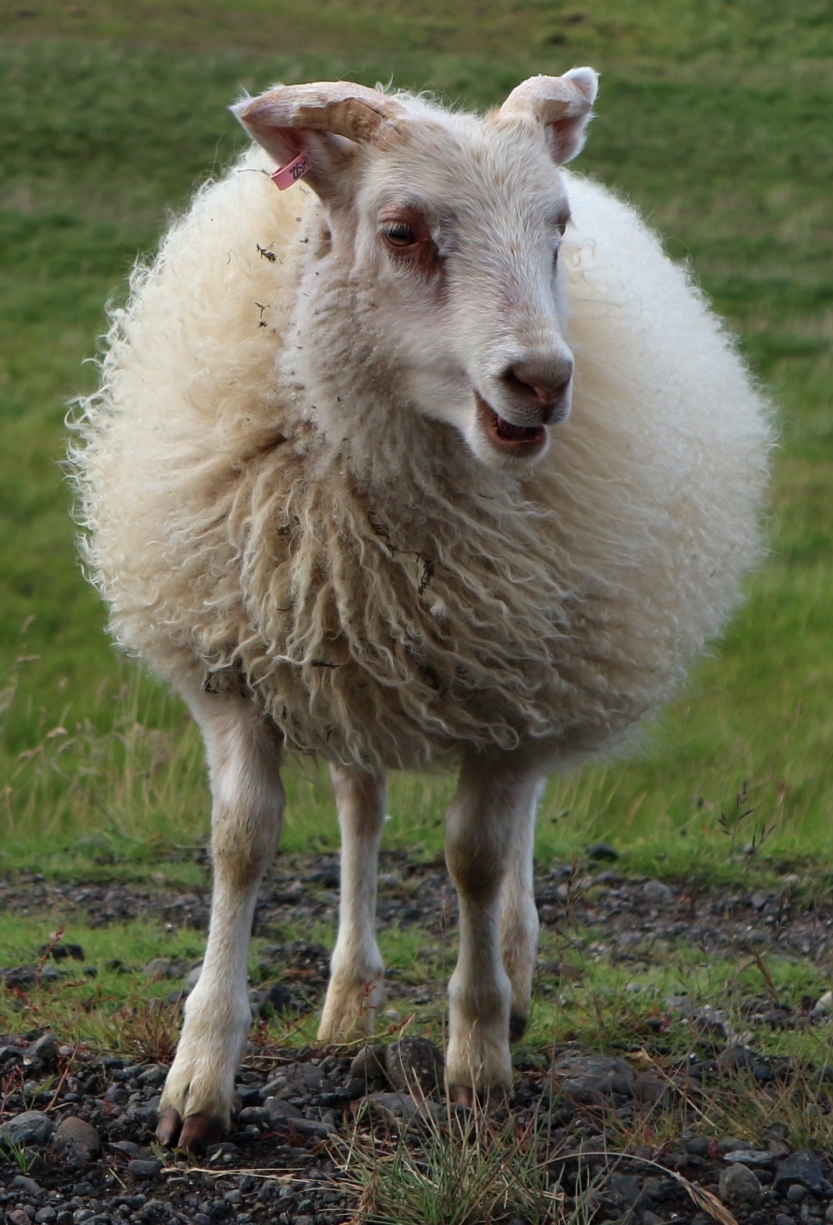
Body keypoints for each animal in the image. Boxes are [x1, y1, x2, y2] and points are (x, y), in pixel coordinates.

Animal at [71, 71, 772, 1152]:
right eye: (400, 231)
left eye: (556, 226)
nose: (540, 381)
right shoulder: (238, 666)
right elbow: (240, 843)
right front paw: (198, 1076)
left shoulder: (512, 687)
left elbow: (475, 859)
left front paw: (478, 1055)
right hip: (345, 658)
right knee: (359, 804)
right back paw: (348, 998)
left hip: (537, 665)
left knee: (513, 826)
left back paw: (513, 974)